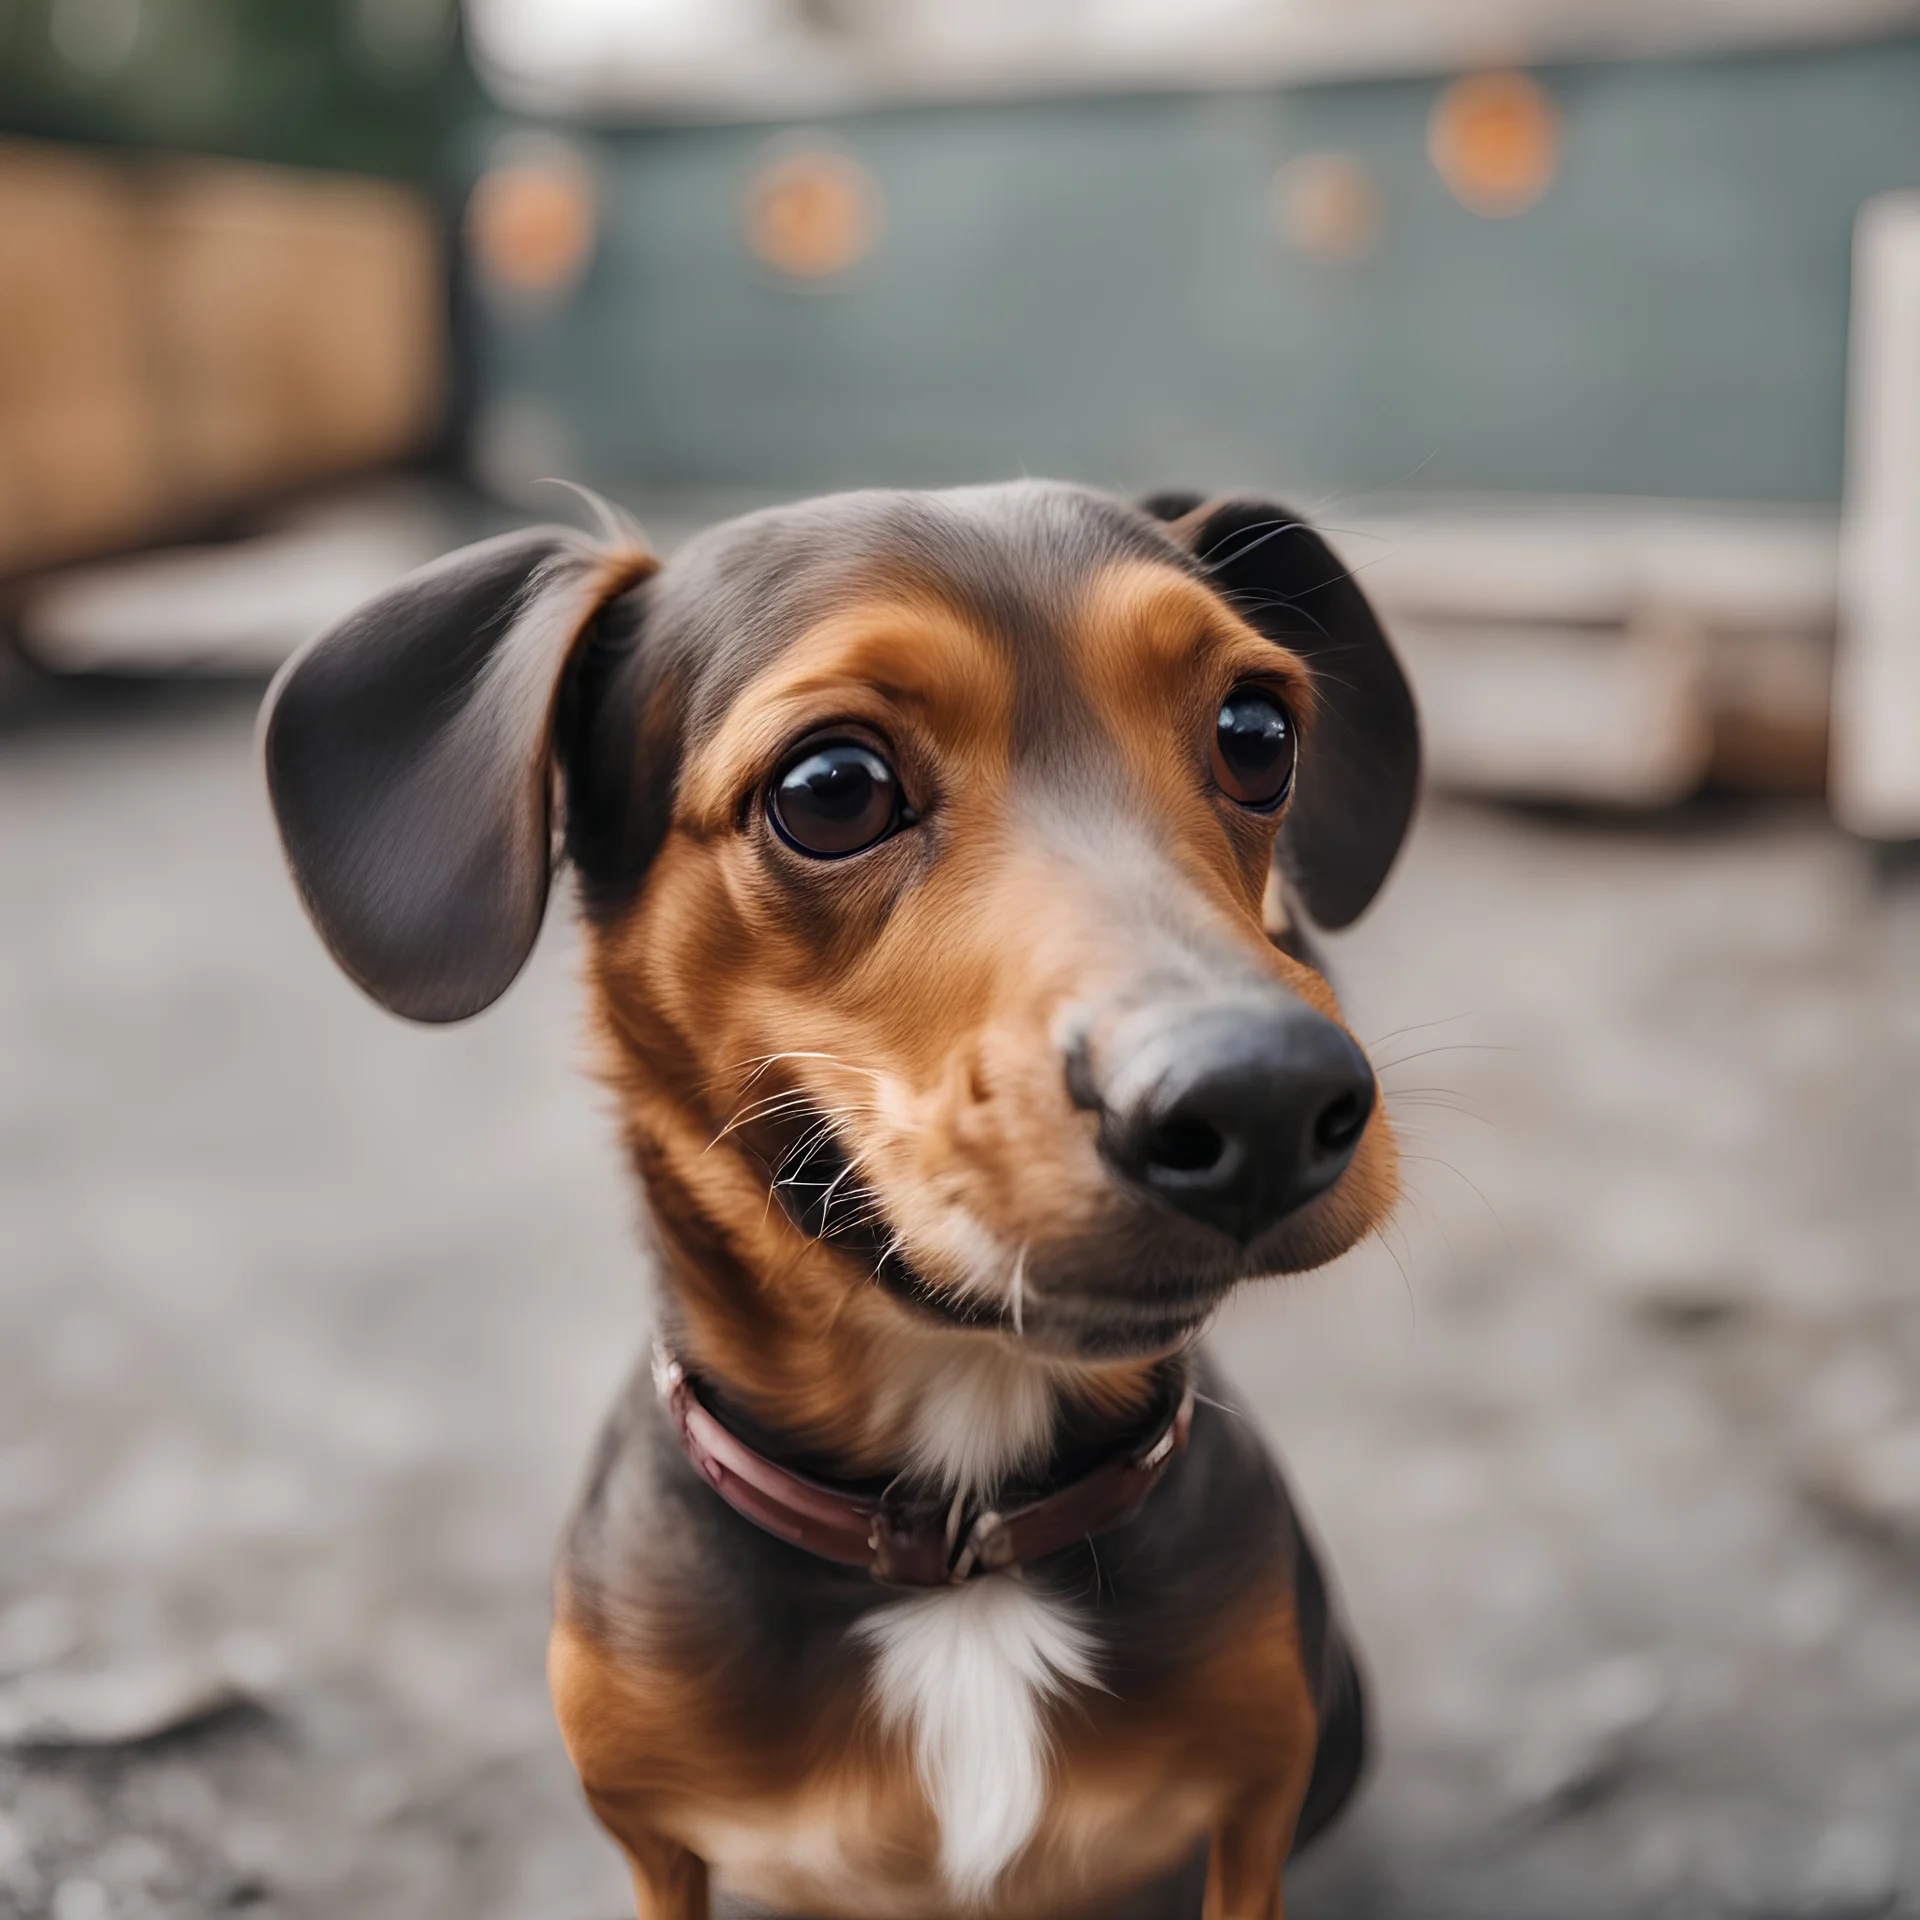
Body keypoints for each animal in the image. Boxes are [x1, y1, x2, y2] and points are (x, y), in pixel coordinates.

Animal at [263, 480, 1420, 1920]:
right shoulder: (656, 1842)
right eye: (832, 790)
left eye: (1258, 734)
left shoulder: (1255, 1802)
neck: (963, 1544)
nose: (1264, 1097)